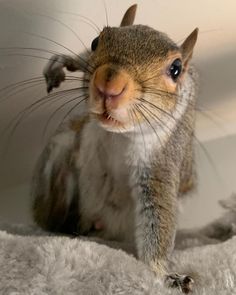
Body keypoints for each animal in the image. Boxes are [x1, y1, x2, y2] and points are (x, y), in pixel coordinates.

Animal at [30, 4, 197, 294]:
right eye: (96, 41)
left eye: (176, 69)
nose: (109, 83)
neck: (121, 136)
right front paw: (63, 62)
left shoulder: (162, 162)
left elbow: (158, 214)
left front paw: (164, 275)